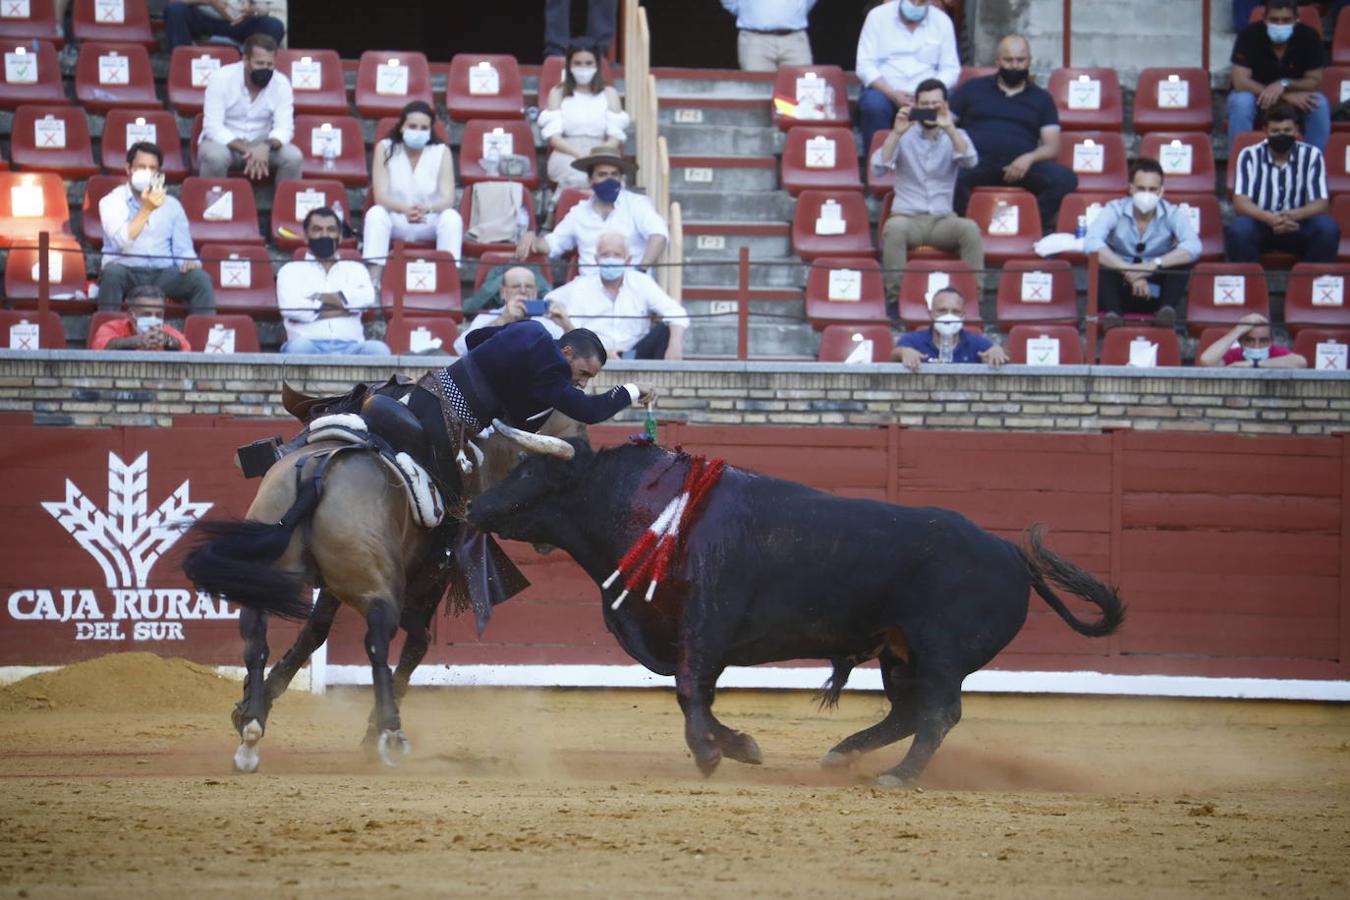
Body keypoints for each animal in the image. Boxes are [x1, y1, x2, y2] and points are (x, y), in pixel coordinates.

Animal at [469, 442, 1123, 788]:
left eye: (530, 471)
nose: (473, 505)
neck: (654, 513)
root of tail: (1011, 555)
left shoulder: (704, 628)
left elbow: (689, 689)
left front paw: (712, 754)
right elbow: (695, 693)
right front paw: (739, 746)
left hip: (940, 654)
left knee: (939, 714)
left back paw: (897, 775)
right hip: (899, 653)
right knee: (910, 710)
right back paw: (842, 755)